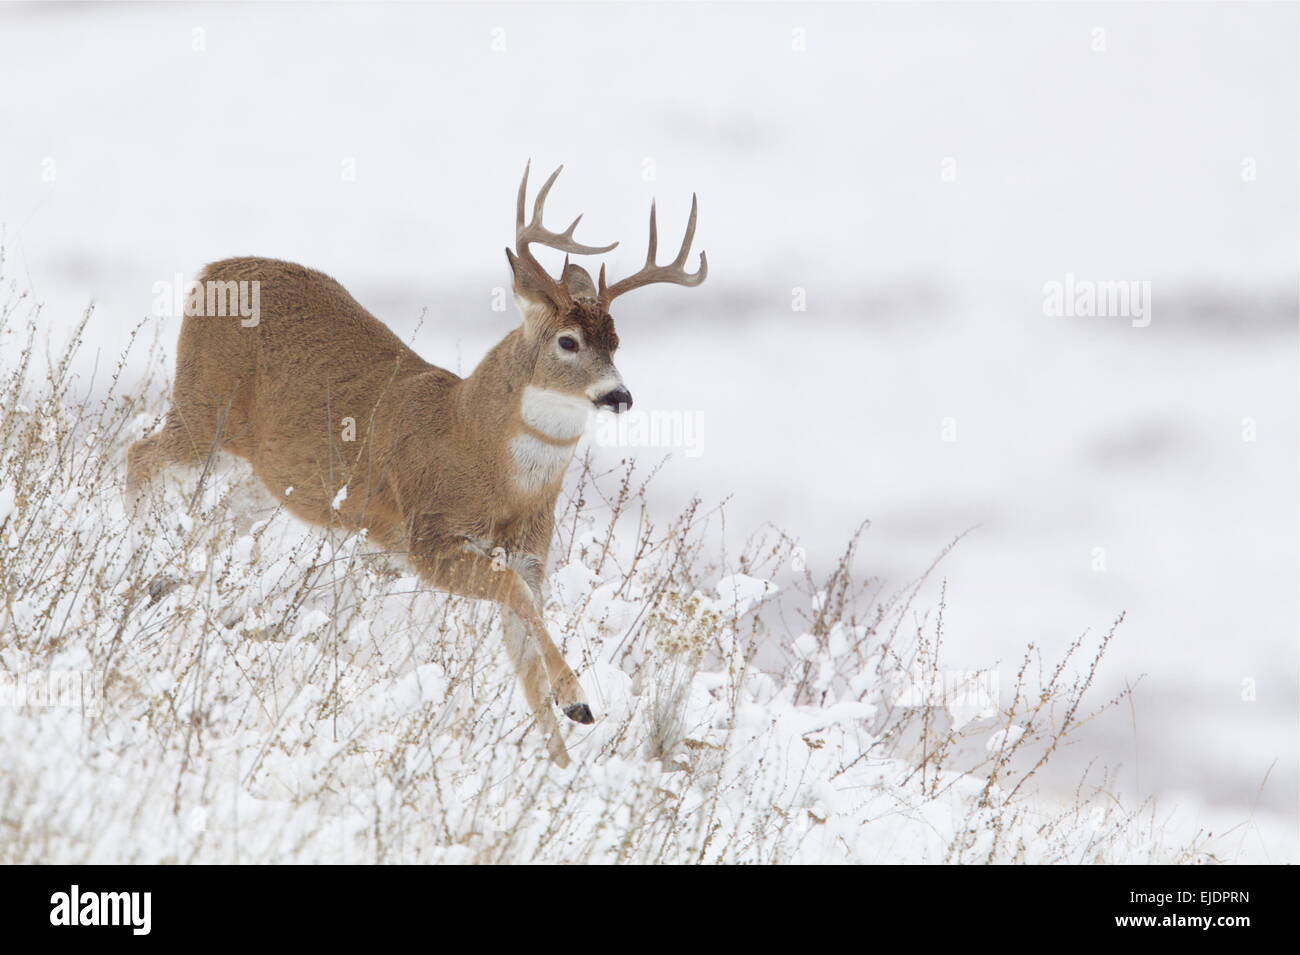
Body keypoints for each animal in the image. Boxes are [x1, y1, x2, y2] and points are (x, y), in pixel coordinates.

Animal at [126, 163, 707, 767]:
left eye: (617, 341)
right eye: (568, 341)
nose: (619, 396)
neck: (480, 452)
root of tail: (210, 271)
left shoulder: (531, 555)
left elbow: (526, 659)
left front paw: (563, 763)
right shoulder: (427, 539)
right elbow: (515, 601)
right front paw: (578, 699)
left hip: (265, 478)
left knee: (216, 516)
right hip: (203, 414)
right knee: (135, 454)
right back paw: (139, 554)